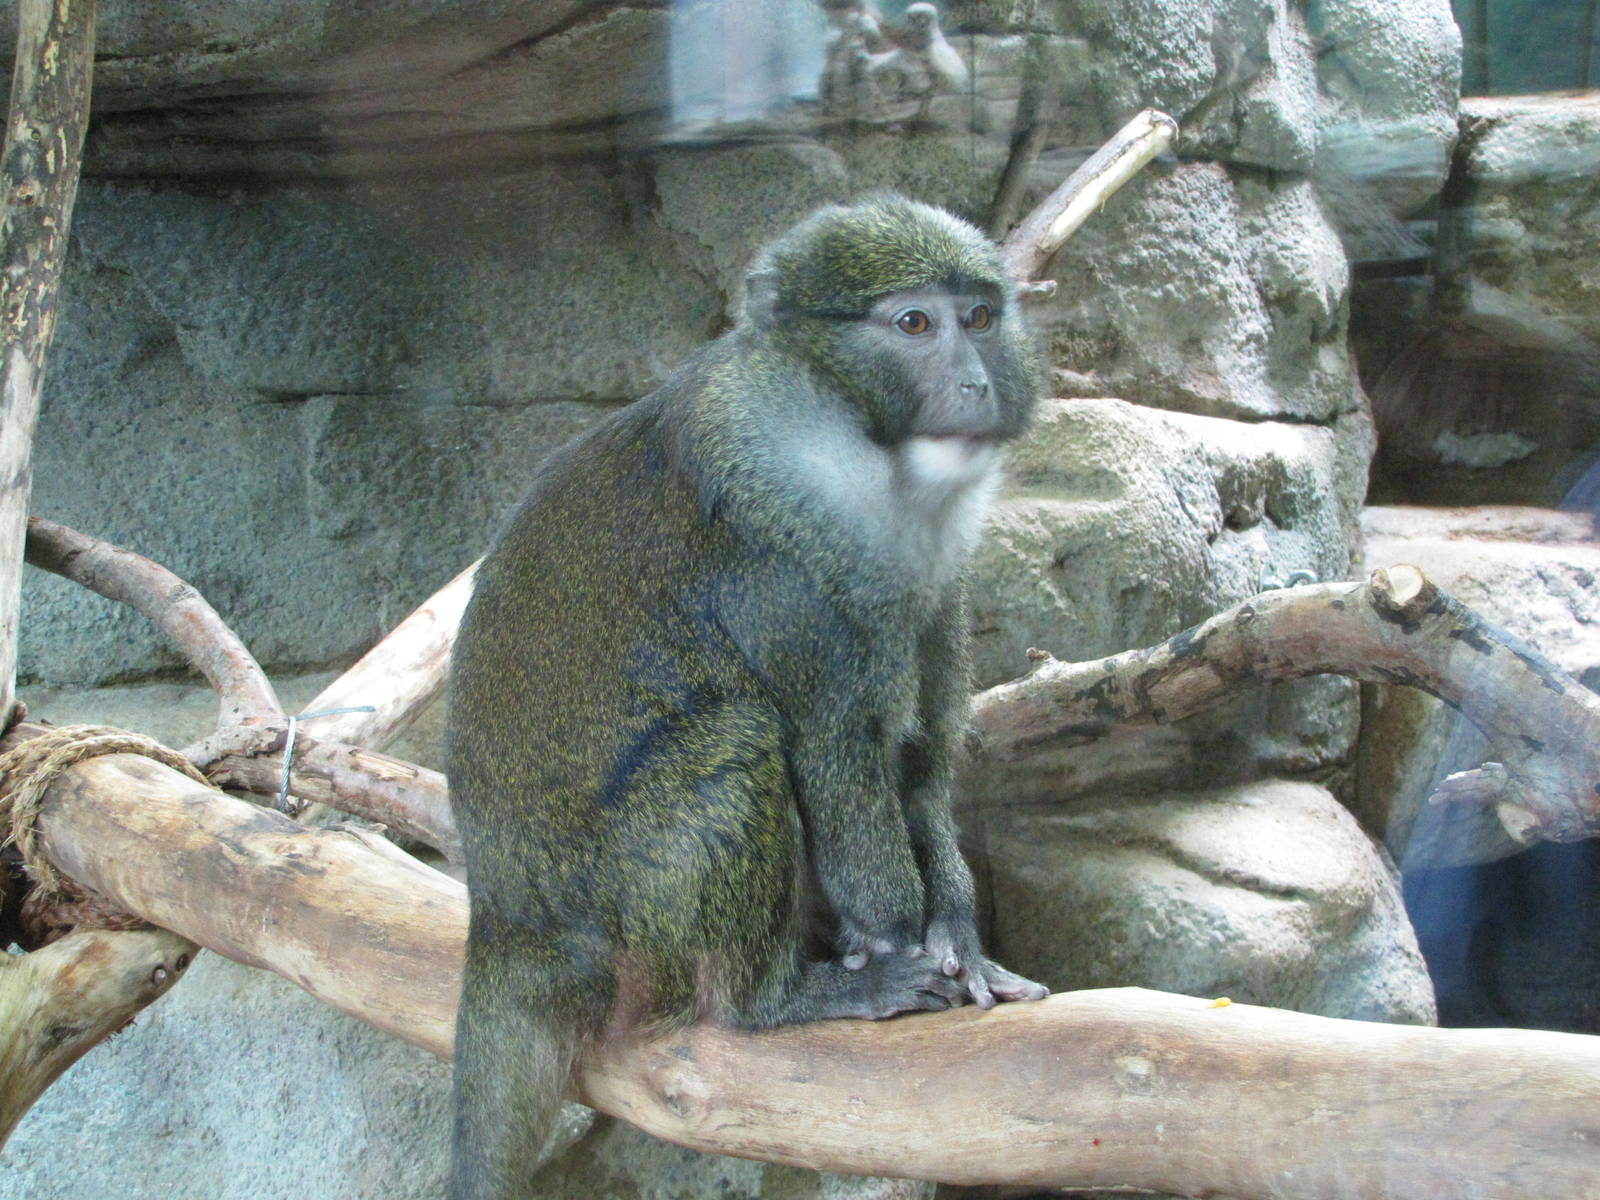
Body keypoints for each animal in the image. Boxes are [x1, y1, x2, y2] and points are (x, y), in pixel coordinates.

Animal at [446, 193, 1048, 1200]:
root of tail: (508, 919)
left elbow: (921, 769)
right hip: (628, 922)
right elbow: (838, 762)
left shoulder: (935, 593)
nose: (974, 383)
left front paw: (961, 936)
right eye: (913, 325)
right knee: (735, 742)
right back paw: (774, 1000)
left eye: (979, 318)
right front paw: (895, 946)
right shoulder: (784, 577)